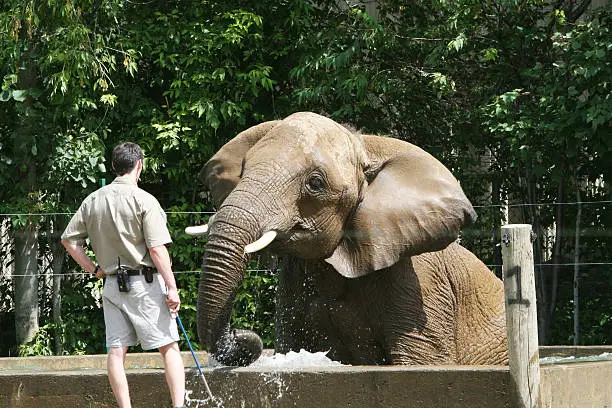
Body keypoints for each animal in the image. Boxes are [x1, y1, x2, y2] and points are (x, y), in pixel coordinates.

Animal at [189, 111, 510, 366]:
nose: (244, 335)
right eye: (243, 169)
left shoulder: (422, 283)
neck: (366, 148)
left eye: (315, 183)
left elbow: (418, 362)